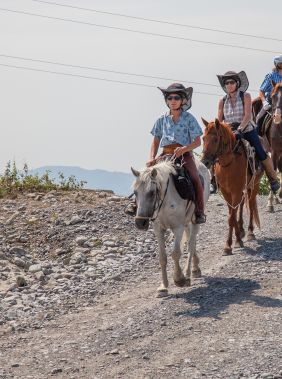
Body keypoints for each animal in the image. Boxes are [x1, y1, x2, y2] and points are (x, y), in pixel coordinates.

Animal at [132, 160, 209, 296]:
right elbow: (162, 257)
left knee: (191, 243)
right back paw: (195, 269)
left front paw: (179, 279)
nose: (140, 222)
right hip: (187, 222)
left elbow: (176, 253)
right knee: (190, 241)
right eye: (135, 192)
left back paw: (189, 273)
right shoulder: (158, 229)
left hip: (195, 220)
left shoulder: (177, 227)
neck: (165, 200)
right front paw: (163, 287)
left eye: (152, 193)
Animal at [200, 119, 262, 255]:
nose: (205, 162)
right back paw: (242, 229)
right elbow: (231, 216)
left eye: (215, 139)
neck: (229, 164)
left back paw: (250, 232)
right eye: (203, 138)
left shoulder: (235, 191)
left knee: (251, 205)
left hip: (254, 185)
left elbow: (231, 217)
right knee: (242, 206)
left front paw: (231, 244)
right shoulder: (226, 192)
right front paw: (234, 240)